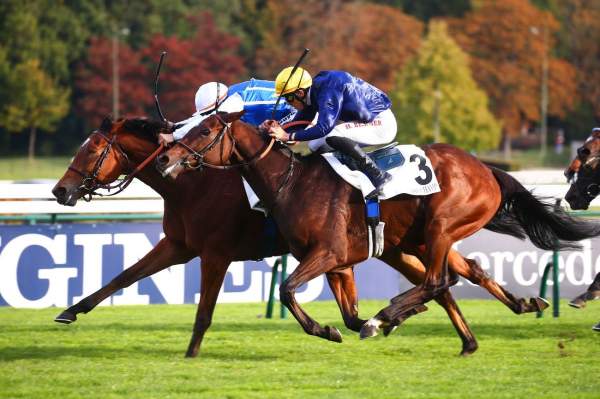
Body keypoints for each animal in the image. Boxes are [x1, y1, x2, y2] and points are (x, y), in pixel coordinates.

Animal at [157, 111, 600, 350]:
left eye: (203, 132)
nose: (166, 159)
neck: (292, 182)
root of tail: (486, 169)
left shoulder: (328, 253)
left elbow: (287, 290)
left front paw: (329, 329)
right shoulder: (338, 264)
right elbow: (347, 314)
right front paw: (342, 326)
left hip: (441, 226)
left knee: (438, 280)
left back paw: (389, 315)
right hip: (416, 241)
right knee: (461, 274)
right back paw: (501, 317)